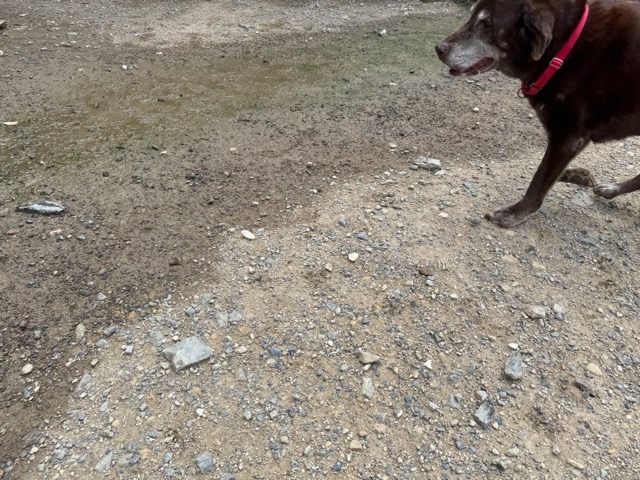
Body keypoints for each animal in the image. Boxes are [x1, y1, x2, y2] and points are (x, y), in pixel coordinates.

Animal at [436, 0, 640, 227]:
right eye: (471, 16)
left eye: (487, 23)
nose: (438, 49)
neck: (564, 48)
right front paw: (578, 175)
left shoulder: (568, 137)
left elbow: (539, 180)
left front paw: (515, 212)